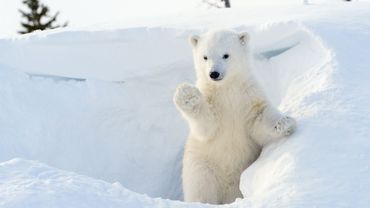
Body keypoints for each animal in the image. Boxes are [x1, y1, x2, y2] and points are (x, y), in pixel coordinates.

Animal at [174, 29, 298, 205]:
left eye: (226, 55)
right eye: (205, 57)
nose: (214, 73)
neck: (227, 89)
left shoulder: (247, 97)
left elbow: (258, 119)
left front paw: (285, 123)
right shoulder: (213, 102)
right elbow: (206, 127)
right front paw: (187, 94)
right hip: (202, 166)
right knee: (201, 189)